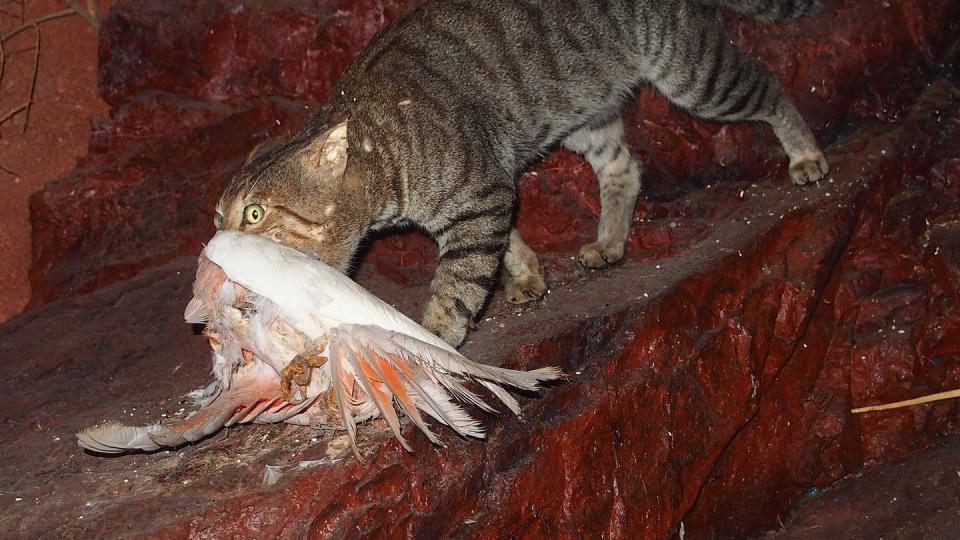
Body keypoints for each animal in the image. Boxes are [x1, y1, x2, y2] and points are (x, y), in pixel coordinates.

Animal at [214, 0, 828, 346]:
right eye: (219, 216)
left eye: (255, 214)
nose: (214, 253)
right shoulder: (488, 191)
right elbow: (506, 242)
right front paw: (529, 273)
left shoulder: (479, 191)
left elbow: (456, 287)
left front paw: (435, 338)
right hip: (586, 114)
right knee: (624, 168)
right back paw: (609, 242)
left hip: (695, 73)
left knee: (769, 87)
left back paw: (805, 155)